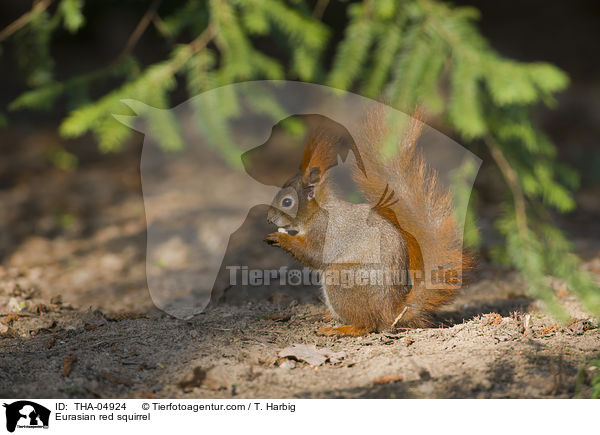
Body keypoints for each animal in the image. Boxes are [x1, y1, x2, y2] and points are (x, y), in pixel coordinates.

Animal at [264, 111, 472, 338]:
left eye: (287, 202)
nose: (269, 219)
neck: (319, 210)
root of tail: (392, 311)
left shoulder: (324, 230)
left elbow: (314, 254)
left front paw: (280, 237)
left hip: (342, 279)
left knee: (367, 325)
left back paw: (341, 328)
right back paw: (327, 316)